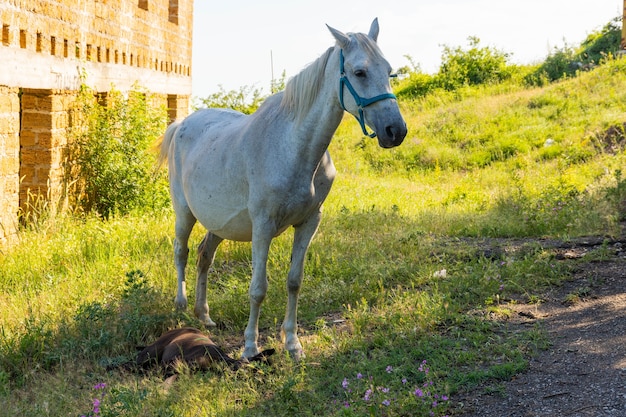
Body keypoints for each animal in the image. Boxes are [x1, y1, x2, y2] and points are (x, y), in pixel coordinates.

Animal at [157, 17, 404, 358]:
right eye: (359, 72)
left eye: (389, 70)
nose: (396, 131)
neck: (293, 147)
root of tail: (181, 124)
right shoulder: (263, 226)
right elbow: (258, 289)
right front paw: (250, 347)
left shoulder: (309, 222)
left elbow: (294, 281)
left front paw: (292, 344)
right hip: (184, 213)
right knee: (181, 251)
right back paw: (181, 307)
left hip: (218, 224)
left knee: (204, 256)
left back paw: (204, 315)